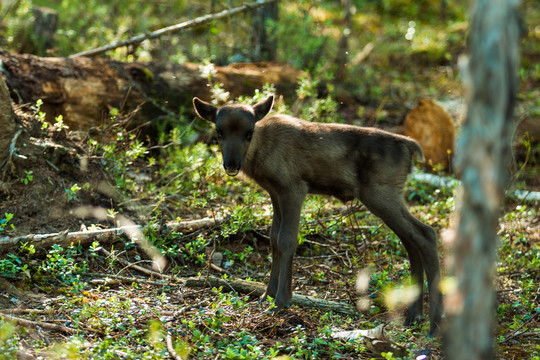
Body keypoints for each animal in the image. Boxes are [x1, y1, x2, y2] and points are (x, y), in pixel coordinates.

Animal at [194, 95, 442, 334]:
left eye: (249, 132)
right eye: (218, 131)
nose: (231, 164)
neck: (259, 154)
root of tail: (410, 147)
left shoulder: (293, 188)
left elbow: (286, 240)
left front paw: (282, 301)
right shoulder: (275, 192)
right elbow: (273, 239)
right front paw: (267, 295)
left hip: (381, 194)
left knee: (425, 233)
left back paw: (434, 325)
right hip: (387, 197)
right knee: (412, 240)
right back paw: (413, 316)